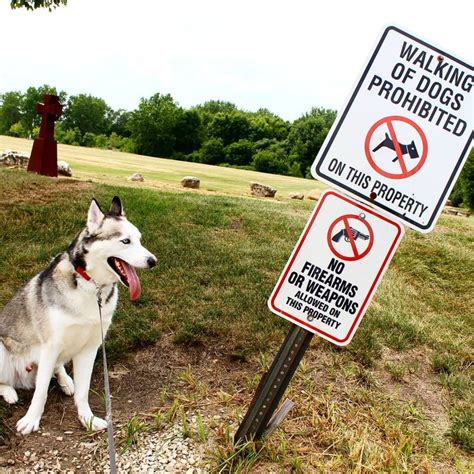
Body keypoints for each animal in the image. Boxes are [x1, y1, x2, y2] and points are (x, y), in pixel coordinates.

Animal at [0, 196, 156, 434]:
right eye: (125, 241)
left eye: (139, 240)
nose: (153, 261)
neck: (92, 286)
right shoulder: (50, 345)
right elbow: (40, 392)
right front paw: (31, 419)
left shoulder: (90, 347)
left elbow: (83, 391)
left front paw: (87, 418)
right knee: (6, 380)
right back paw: (9, 391)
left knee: (57, 367)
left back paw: (65, 381)